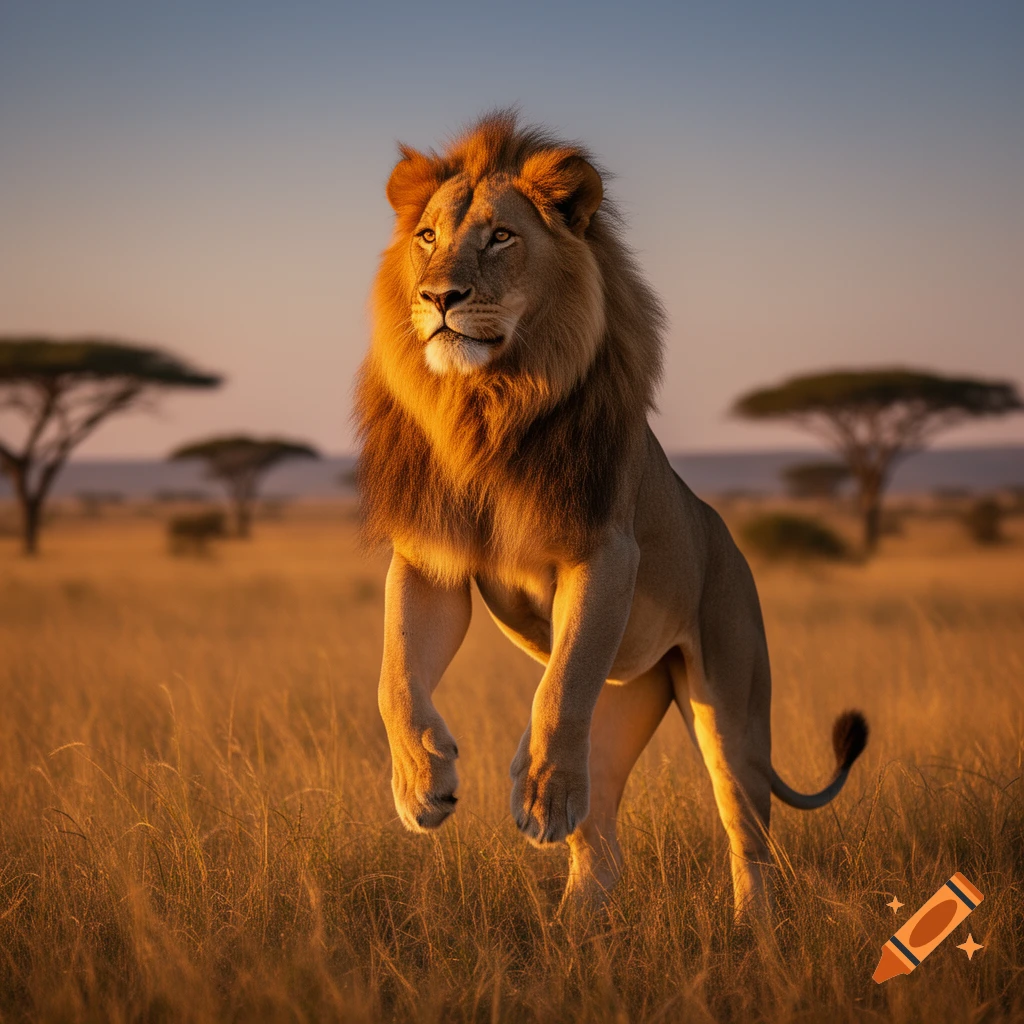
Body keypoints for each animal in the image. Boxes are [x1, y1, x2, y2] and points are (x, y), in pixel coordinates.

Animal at [354, 111, 868, 919]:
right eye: (428, 237)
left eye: (502, 237)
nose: (439, 297)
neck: (486, 408)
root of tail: (729, 542)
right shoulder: (429, 560)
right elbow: (396, 675)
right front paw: (422, 784)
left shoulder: (604, 551)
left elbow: (561, 687)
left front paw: (538, 794)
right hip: (623, 703)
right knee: (601, 845)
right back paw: (572, 932)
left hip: (732, 706)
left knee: (749, 835)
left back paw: (751, 927)